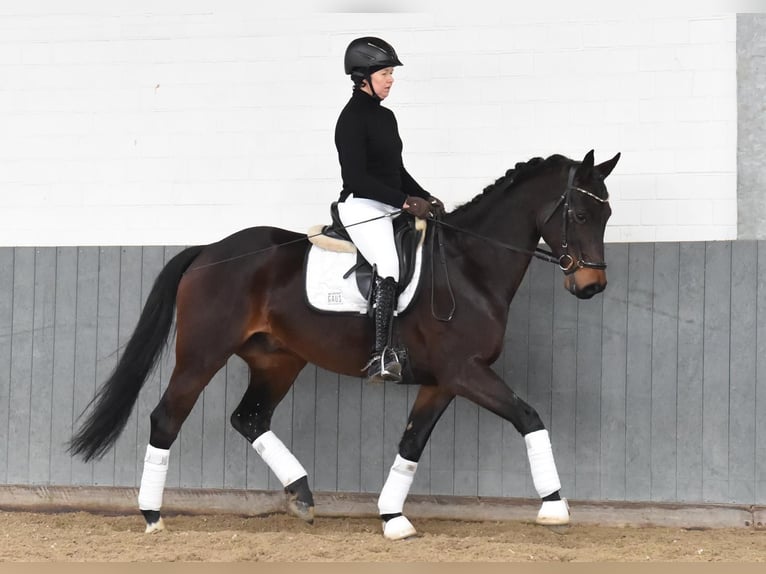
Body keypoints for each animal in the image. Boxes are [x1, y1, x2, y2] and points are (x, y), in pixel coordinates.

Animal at [70, 151, 624, 544]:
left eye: (607, 213)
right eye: (578, 213)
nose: (592, 286)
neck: (469, 267)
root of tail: (209, 252)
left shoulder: (445, 381)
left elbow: (410, 444)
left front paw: (393, 517)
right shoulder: (466, 372)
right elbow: (529, 416)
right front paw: (555, 507)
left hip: (277, 360)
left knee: (249, 418)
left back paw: (301, 495)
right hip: (202, 355)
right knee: (167, 418)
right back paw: (152, 515)